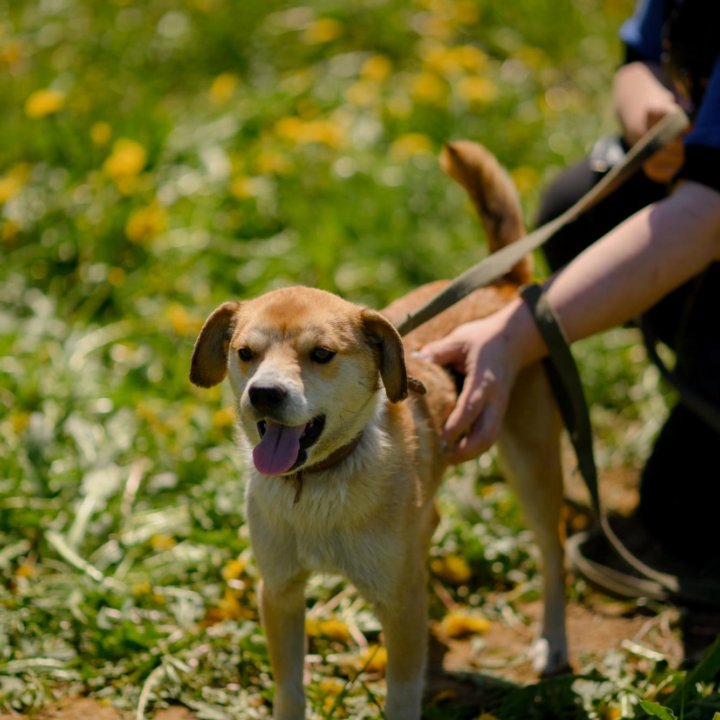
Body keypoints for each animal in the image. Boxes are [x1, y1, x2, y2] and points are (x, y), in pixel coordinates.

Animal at [190, 142, 568, 720]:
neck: (318, 484)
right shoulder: (278, 591)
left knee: (553, 553)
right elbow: (290, 688)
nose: (264, 394)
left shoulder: (400, 602)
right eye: (245, 353)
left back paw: (554, 641)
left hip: (532, 468)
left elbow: (402, 693)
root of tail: (503, 284)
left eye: (321, 354)